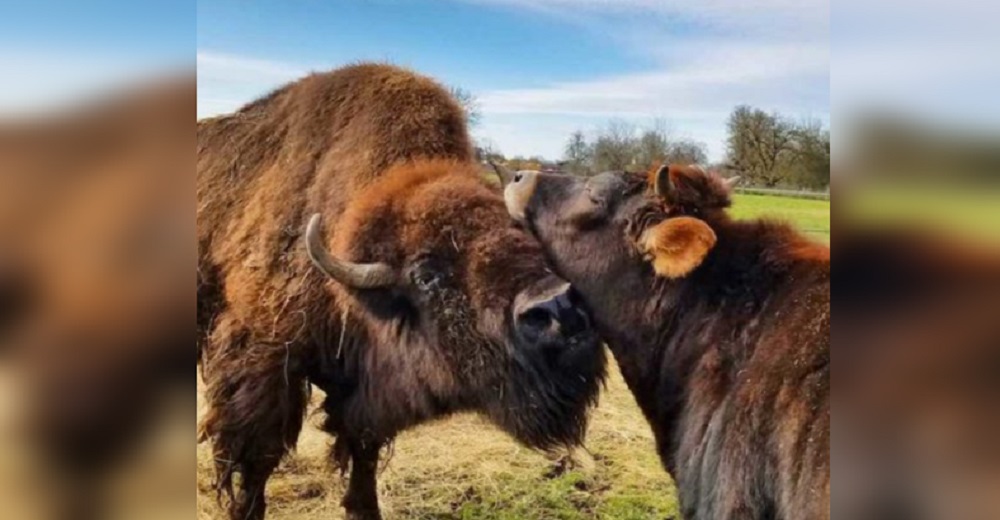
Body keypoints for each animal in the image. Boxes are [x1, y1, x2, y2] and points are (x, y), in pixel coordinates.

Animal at [194, 65, 600, 520]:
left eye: (525, 237)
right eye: (425, 275)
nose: (559, 308)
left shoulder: (362, 385)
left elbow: (364, 450)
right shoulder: (263, 362)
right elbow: (255, 463)